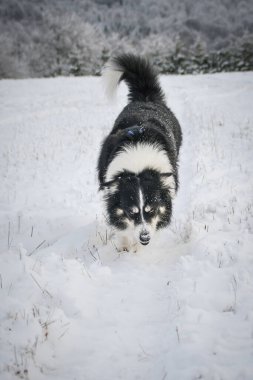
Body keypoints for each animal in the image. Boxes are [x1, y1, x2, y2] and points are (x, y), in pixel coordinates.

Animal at [97, 52, 182, 249]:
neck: (138, 165)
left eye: (151, 210)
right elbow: (122, 228)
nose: (144, 238)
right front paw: (125, 247)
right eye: (132, 212)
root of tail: (145, 97)